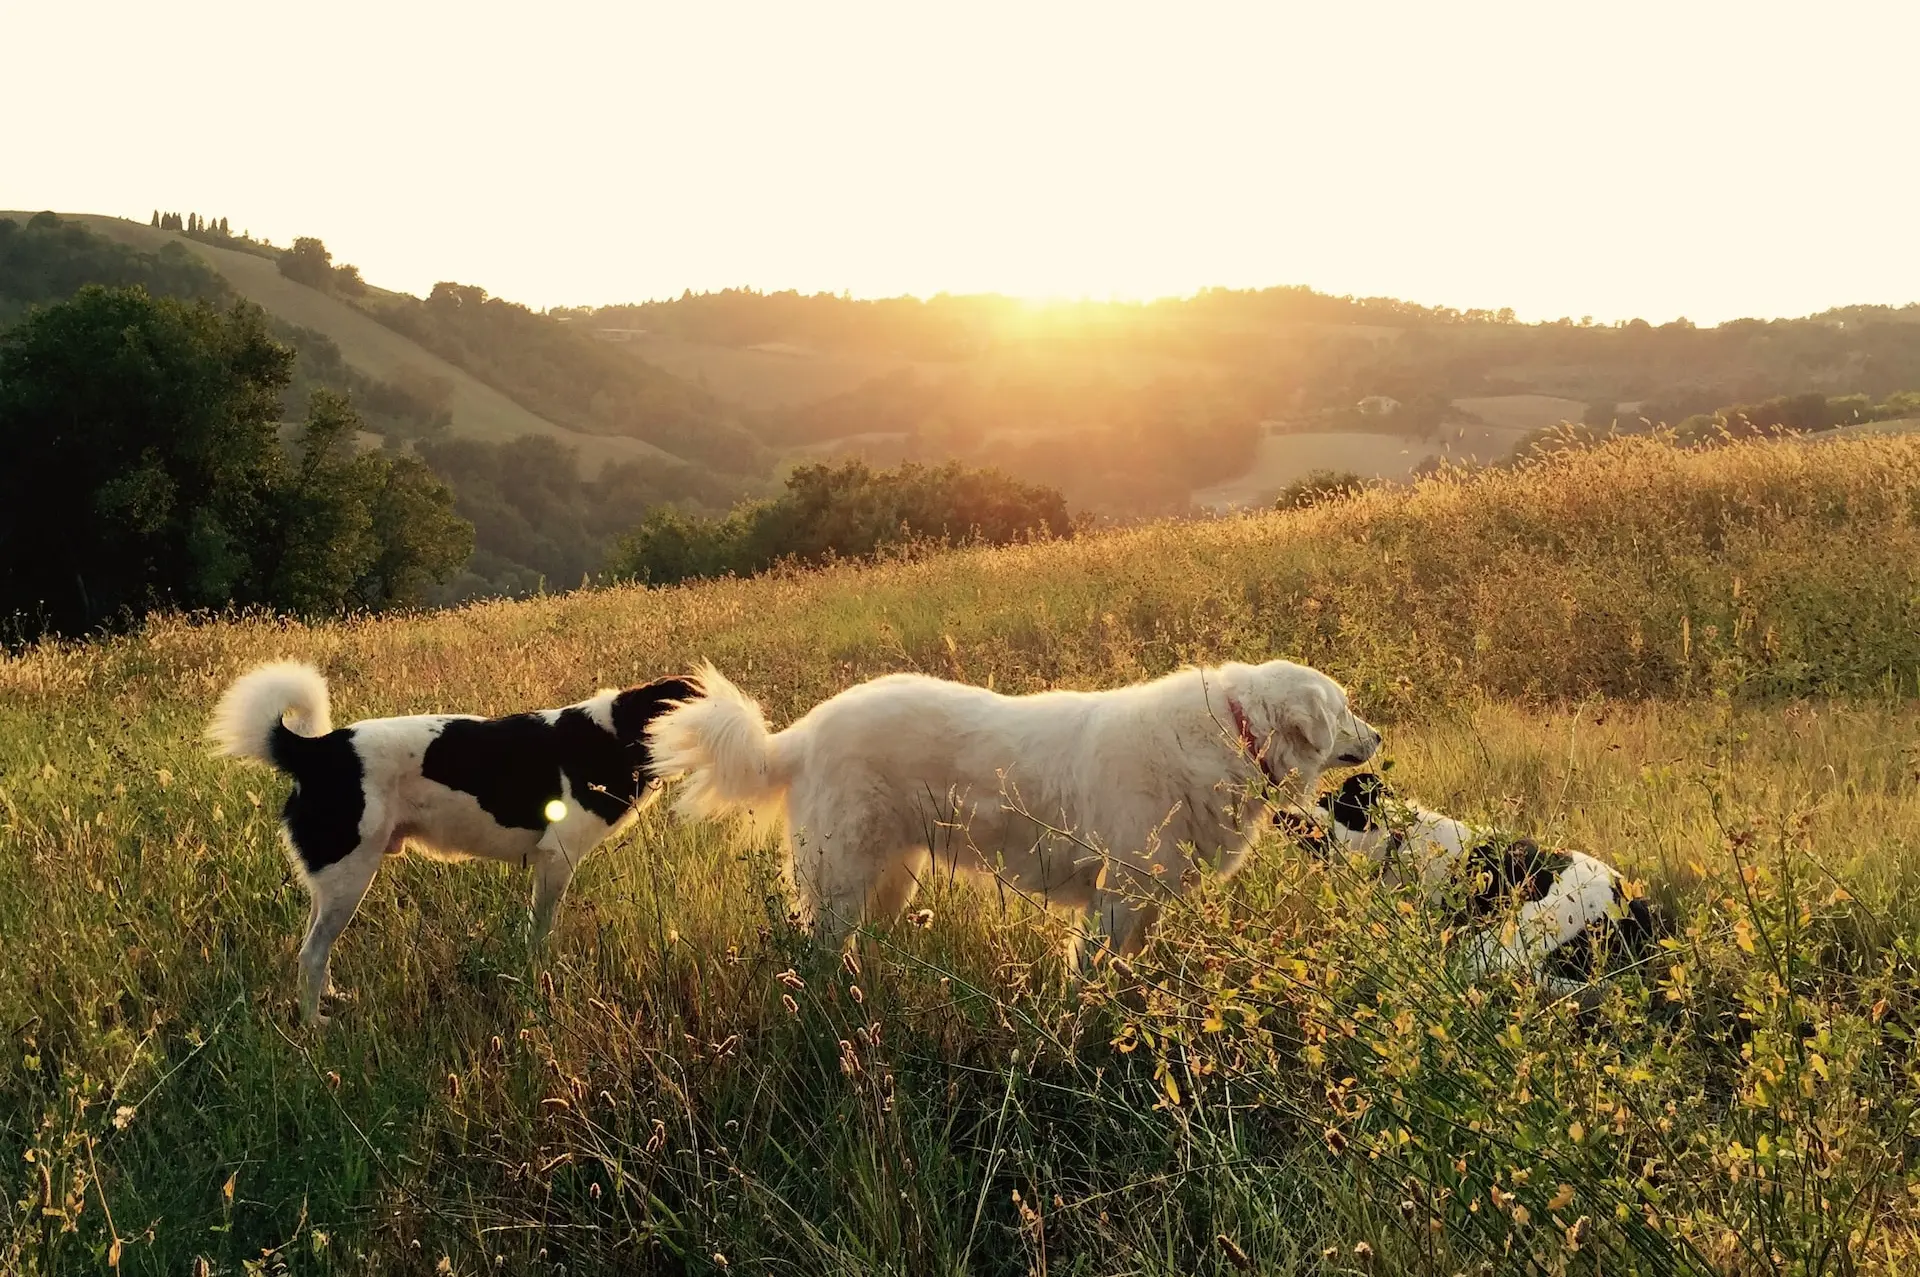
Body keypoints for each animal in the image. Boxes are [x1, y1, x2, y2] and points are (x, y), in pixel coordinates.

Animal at [212, 660, 691, 1021]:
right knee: (311, 954)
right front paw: (540, 980)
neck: (617, 733)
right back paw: (314, 1023)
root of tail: (317, 751)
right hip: (351, 875)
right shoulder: (556, 859)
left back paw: (330, 999)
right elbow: (540, 933)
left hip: (333, 880)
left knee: (316, 944)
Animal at [652, 656, 1374, 956]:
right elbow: (1094, 977)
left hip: (888, 878)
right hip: (841, 882)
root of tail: (799, 734)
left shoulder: (1147, 901)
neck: (1232, 734)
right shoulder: (1117, 899)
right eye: (1344, 709)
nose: (1378, 738)